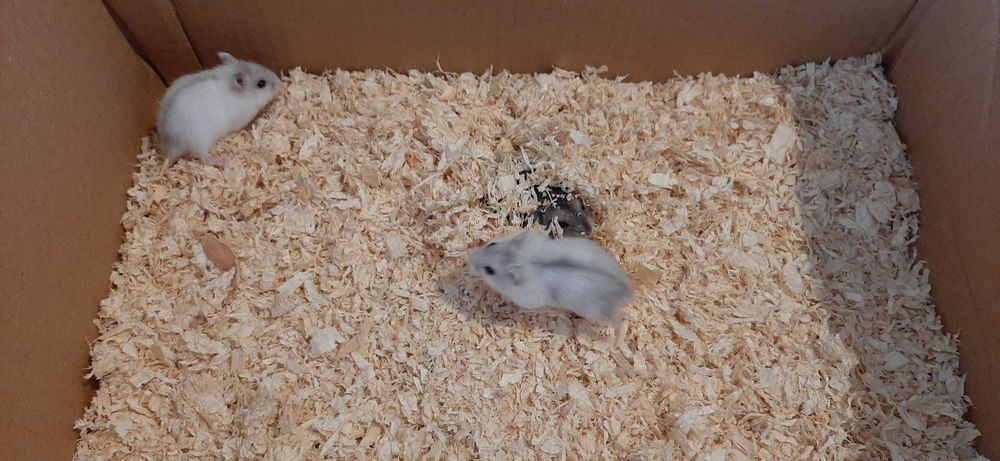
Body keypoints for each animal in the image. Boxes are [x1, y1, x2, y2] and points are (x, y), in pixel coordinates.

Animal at [467, 230, 633, 342]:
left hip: (596, 311)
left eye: (489, 270)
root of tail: (626, 290)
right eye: (492, 243)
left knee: (617, 321)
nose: (469, 258)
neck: (521, 259)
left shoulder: (529, 300)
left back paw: (617, 341)